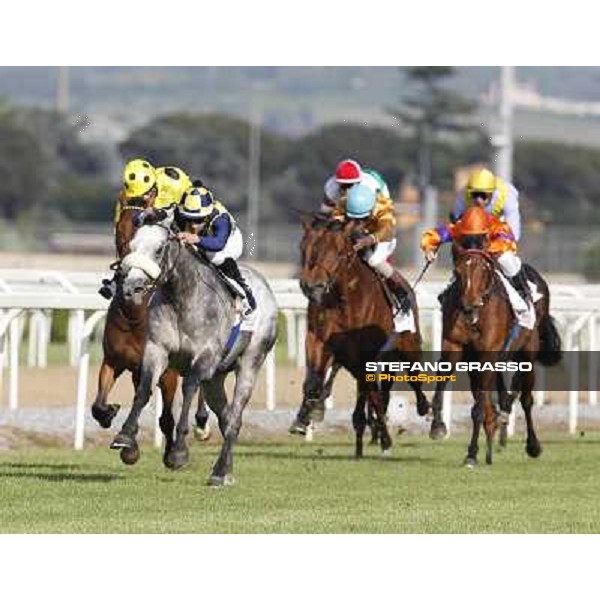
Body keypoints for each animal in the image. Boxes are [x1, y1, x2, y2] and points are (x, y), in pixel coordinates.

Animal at [110, 220, 278, 488]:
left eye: (159, 249)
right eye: (131, 246)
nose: (132, 287)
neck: (181, 298)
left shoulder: (204, 357)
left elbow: (188, 388)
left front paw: (178, 452)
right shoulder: (156, 350)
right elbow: (144, 389)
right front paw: (125, 438)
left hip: (251, 361)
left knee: (234, 418)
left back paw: (219, 472)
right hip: (216, 378)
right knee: (226, 417)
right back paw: (225, 470)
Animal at [290, 218, 426, 458]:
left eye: (337, 252)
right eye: (303, 248)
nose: (312, 286)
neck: (344, 300)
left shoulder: (367, 354)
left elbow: (374, 395)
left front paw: (386, 441)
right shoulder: (318, 340)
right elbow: (313, 381)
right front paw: (305, 416)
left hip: (408, 346)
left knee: (413, 379)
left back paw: (428, 415)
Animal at [426, 241, 564, 466]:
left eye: (484, 271)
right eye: (457, 272)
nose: (469, 305)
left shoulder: (488, 355)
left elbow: (479, 408)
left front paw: (472, 453)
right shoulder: (455, 346)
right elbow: (445, 382)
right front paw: (438, 426)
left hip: (527, 353)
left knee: (526, 400)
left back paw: (532, 445)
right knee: (500, 395)